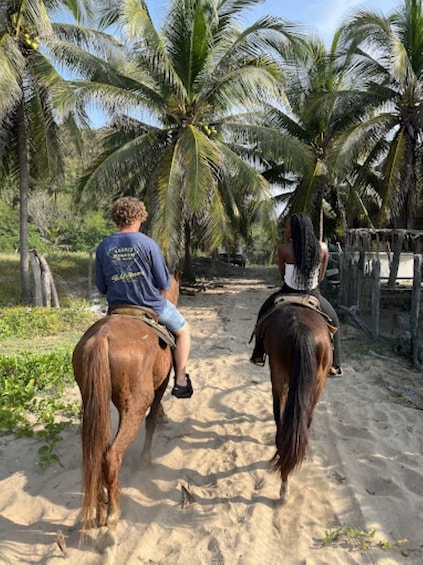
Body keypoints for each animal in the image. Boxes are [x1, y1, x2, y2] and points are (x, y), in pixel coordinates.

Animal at [71, 272, 181, 528]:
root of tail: (102, 337)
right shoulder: (162, 382)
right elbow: (152, 419)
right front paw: (146, 459)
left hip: (93, 401)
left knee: (96, 454)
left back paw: (100, 509)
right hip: (135, 406)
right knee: (112, 455)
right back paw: (112, 512)